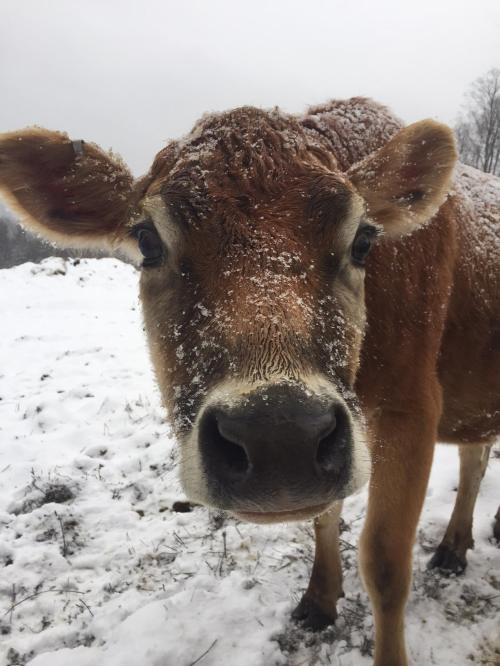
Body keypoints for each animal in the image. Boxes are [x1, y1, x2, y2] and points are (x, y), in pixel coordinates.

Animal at [0, 97, 499, 666]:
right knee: (476, 454)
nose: (279, 435)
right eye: (148, 241)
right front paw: (319, 600)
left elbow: (386, 563)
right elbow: (324, 517)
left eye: (363, 241)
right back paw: (456, 545)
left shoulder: (410, 410)